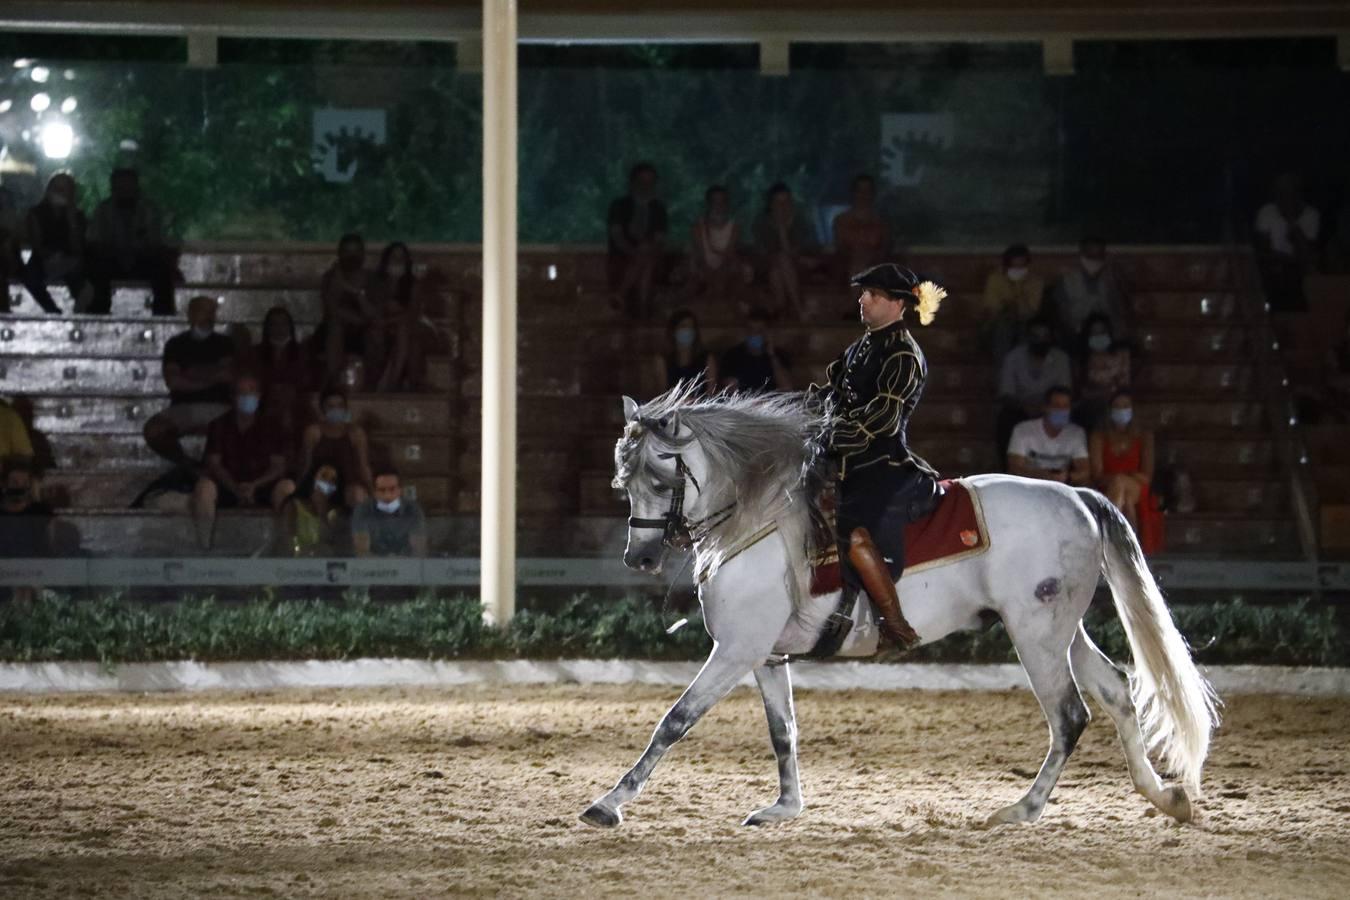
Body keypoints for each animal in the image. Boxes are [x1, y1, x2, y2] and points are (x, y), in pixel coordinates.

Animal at [575, 388, 1220, 831]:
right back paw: (1166, 796)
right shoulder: (765, 655)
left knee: (1069, 715)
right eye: (624, 482)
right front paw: (785, 808)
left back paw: (1022, 810)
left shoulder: (734, 651)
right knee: (1117, 691)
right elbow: (783, 731)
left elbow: (674, 721)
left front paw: (609, 804)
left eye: (661, 479)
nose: (639, 557)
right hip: (1061, 631)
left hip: (1036, 636)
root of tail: (1077, 496)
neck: (758, 519)